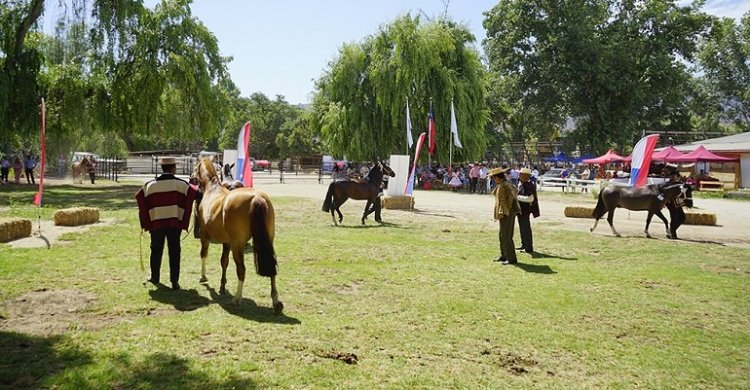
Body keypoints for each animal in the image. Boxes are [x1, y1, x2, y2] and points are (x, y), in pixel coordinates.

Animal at [192, 158, 284, 314]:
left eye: (195, 168)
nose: (192, 177)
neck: (212, 189)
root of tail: (256, 197)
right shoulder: (227, 242)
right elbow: (224, 262)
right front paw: (222, 287)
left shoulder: (205, 236)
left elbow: (204, 254)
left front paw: (203, 277)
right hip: (267, 241)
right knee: (271, 268)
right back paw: (276, 302)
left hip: (238, 245)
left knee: (241, 270)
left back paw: (237, 298)